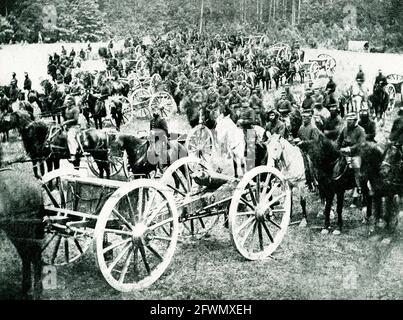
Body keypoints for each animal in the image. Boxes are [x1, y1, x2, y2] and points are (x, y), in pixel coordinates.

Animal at [0, 144, 44, 298]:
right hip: (16, 229)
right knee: (26, 254)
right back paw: (26, 288)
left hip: (22, 227)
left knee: (33, 255)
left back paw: (36, 291)